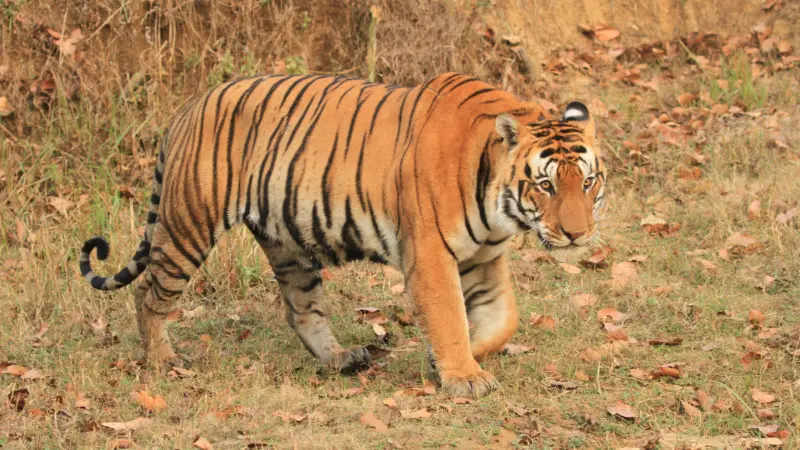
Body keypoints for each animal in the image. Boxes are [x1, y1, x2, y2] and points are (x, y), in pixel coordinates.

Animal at [79, 72, 606, 398]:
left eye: (587, 182)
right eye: (545, 185)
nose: (576, 234)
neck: (499, 204)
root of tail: (190, 106)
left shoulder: (482, 257)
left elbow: (503, 321)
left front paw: (452, 361)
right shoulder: (432, 256)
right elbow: (450, 316)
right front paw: (462, 377)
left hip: (288, 247)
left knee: (301, 309)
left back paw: (339, 358)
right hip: (189, 224)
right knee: (149, 293)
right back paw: (162, 360)